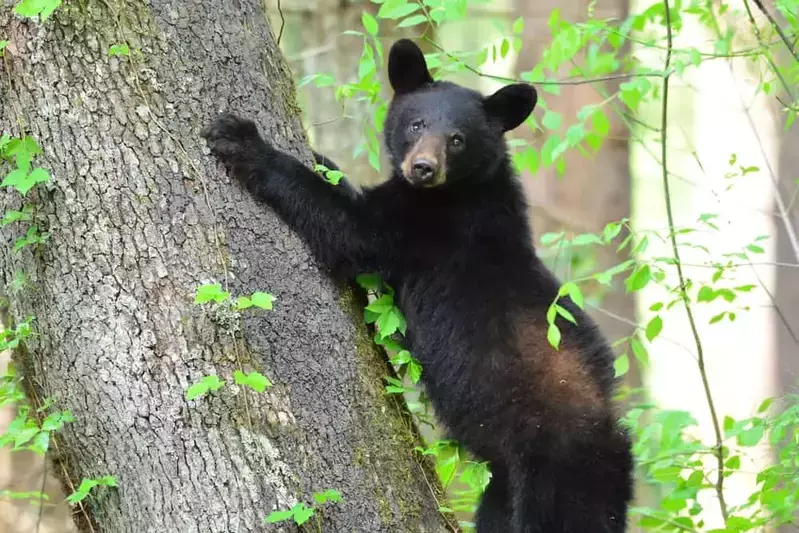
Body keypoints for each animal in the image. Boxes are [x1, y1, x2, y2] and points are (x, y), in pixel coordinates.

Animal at [203, 38, 636, 532]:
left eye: (458, 139)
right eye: (417, 124)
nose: (424, 168)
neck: (461, 190)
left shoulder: (424, 226)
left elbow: (348, 228)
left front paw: (242, 140)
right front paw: (323, 158)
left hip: (556, 474)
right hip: (506, 482)